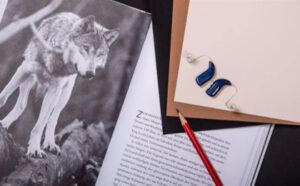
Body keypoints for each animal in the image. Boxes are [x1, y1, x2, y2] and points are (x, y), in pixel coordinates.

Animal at [0, 12, 119, 157]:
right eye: (85, 48)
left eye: (100, 54)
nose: (90, 74)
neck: (57, 60)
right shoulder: (24, 69)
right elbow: (3, 97)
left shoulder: (54, 90)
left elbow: (39, 125)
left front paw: (34, 148)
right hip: (28, 81)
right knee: (21, 105)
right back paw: (5, 124)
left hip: (63, 95)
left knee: (52, 119)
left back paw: (50, 143)